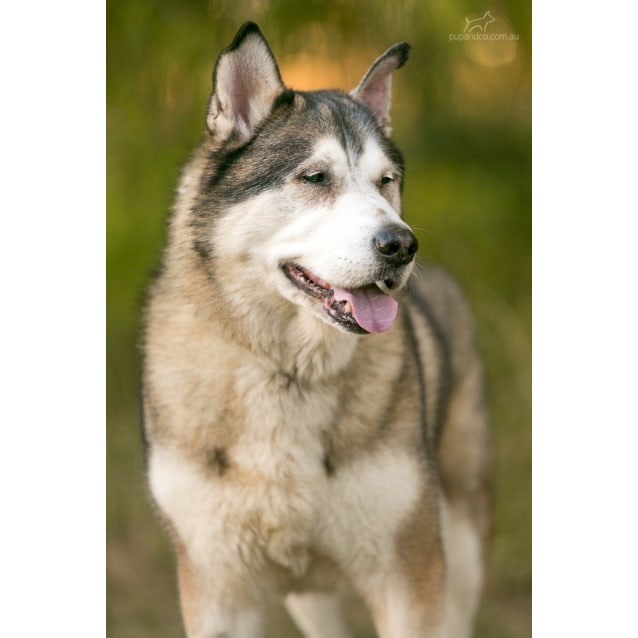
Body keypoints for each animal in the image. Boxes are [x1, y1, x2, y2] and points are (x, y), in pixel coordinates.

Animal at [142, 21, 492, 638]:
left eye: (386, 181)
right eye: (315, 177)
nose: (402, 245)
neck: (284, 373)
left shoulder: (411, 577)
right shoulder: (218, 587)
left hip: (461, 547)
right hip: (311, 593)